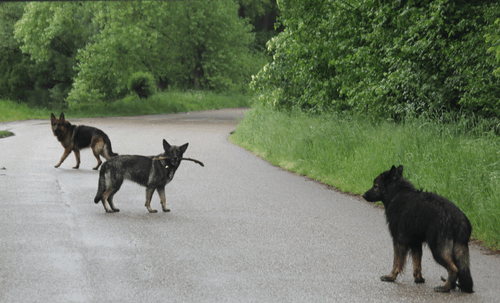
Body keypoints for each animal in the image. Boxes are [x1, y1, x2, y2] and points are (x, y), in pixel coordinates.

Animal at [364, 165, 472, 294]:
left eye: (375, 186)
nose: (363, 195)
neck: (397, 194)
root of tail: (459, 217)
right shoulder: (416, 243)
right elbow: (417, 263)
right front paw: (419, 280)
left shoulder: (398, 241)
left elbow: (396, 262)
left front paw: (391, 277)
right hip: (458, 249)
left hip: (437, 249)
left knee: (454, 269)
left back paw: (445, 287)